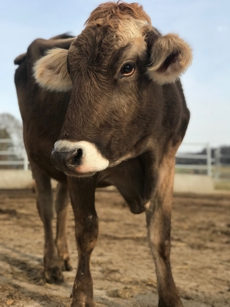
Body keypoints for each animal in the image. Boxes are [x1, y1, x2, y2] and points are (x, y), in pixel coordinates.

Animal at [13, 2, 191, 307]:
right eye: (71, 72)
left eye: (127, 67)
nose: (63, 155)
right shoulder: (82, 172)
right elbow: (87, 231)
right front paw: (82, 295)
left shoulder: (166, 161)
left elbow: (160, 236)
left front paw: (171, 298)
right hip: (38, 159)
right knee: (46, 209)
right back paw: (51, 265)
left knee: (60, 208)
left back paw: (63, 257)